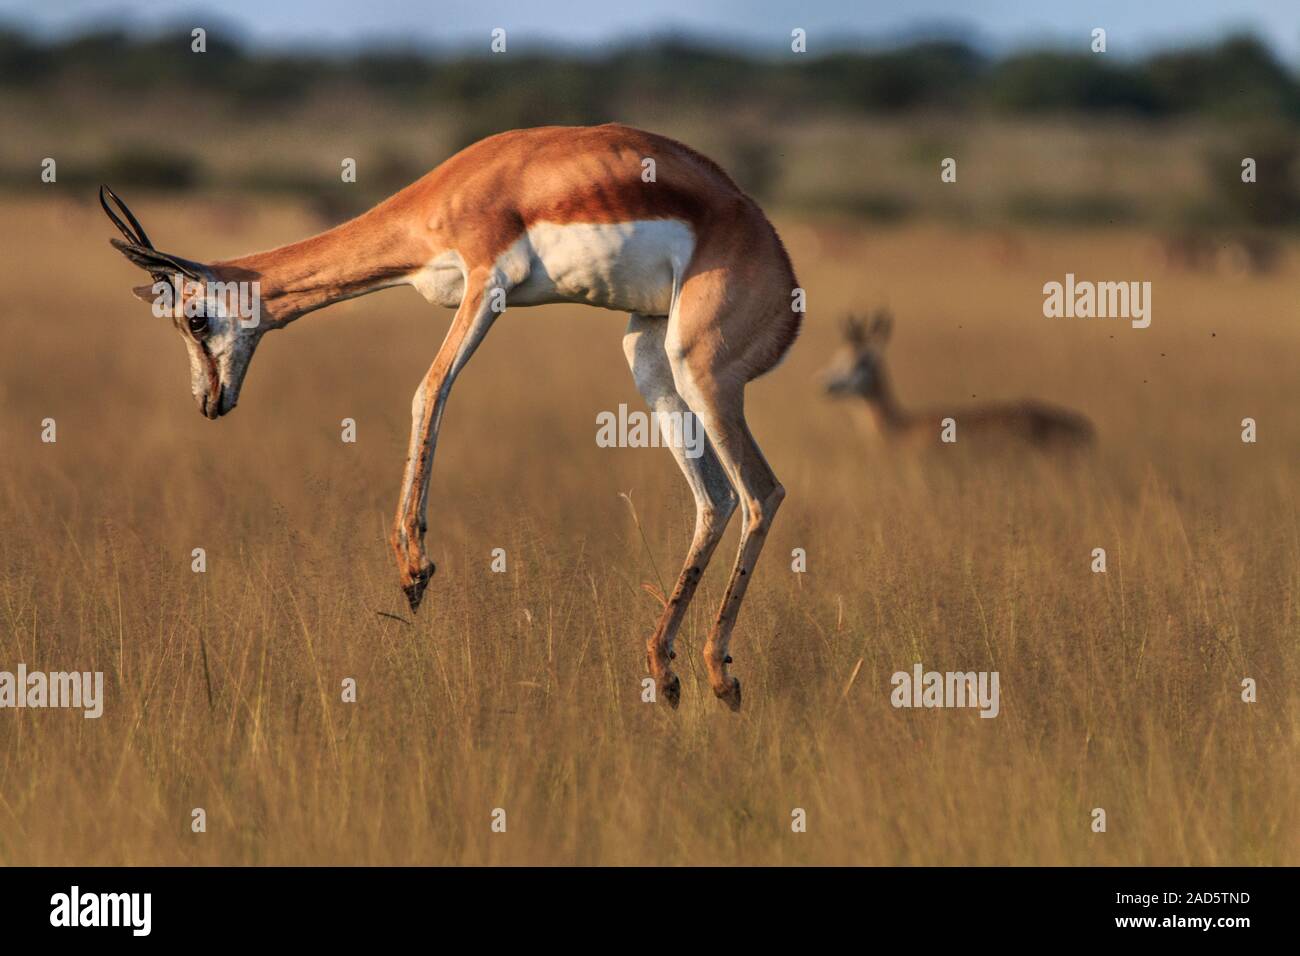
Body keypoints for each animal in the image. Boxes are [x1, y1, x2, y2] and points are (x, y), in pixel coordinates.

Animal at [101, 123, 795, 712]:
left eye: (196, 319)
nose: (209, 401)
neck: (456, 189)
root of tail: (783, 275)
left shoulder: (488, 283)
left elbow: (428, 392)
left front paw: (414, 569)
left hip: (700, 371)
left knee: (761, 492)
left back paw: (720, 673)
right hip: (649, 357)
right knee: (715, 499)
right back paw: (664, 667)